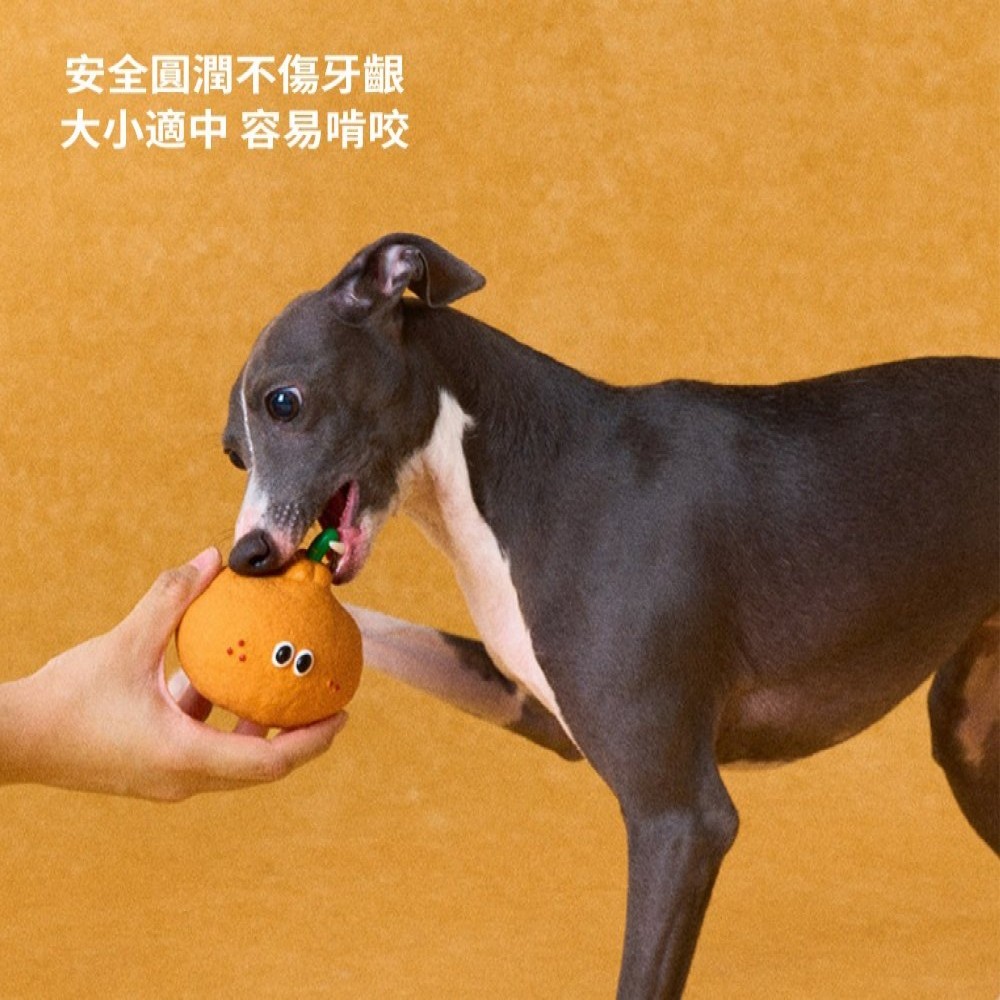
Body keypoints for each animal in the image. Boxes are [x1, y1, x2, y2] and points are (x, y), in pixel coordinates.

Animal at [222, 233, 998, 998]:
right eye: (233, 453)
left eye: (283, 402)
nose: (246, 555)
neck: (535, 469)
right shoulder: (529, 706)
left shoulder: (680, 820)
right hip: (969, 740)